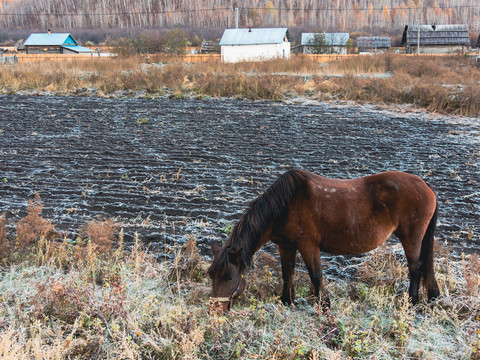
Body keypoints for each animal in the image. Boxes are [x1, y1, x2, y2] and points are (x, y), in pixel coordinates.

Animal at [208, 169, 440, 312]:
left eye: (229, 277)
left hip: (411, 239)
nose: (214, 311)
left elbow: (316, 277)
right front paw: (287, 302)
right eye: (211, 275)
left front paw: (325, 306)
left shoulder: (308, 246)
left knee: (415, 268)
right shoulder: (286, 246)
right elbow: (287, 274)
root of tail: (425, 185)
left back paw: (411, 302)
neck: (285, 205)